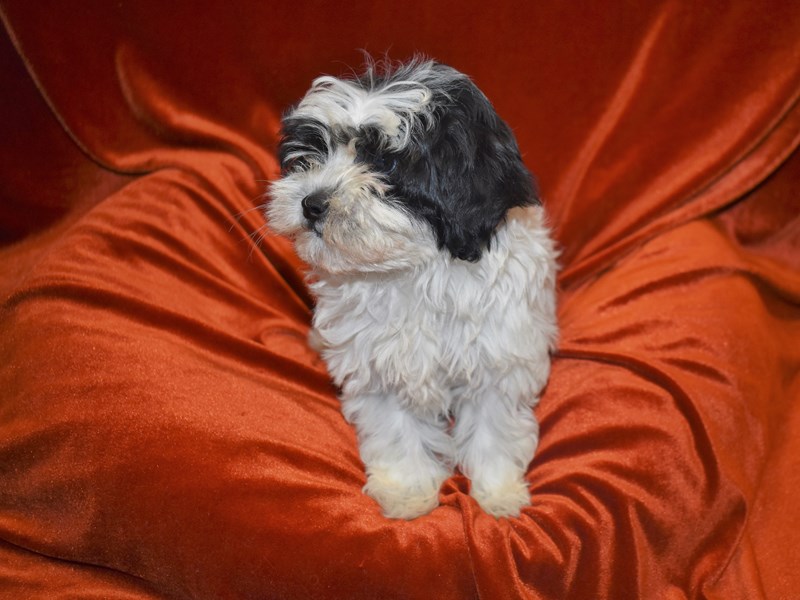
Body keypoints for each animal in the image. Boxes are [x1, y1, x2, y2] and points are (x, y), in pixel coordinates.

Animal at [268, 58, 556, 516]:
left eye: (386, 166)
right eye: (311, 155)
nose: (312, 203)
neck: (414, 269)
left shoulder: (499, 355)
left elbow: (493, 426)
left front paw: (498, 494)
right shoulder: (377, 364)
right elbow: (396, 429)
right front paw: (407, 491)